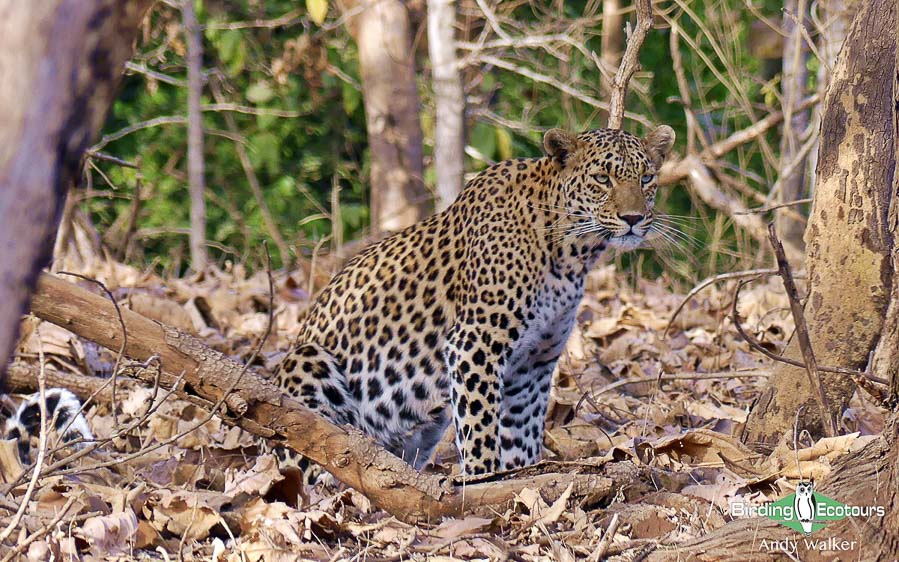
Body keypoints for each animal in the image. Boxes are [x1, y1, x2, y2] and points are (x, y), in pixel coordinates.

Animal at [272, 124, 676, 474]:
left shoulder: (533, 364)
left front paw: (519, 476)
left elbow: (521, 434)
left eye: (646, 178)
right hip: (308, 361)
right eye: (602, 179)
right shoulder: (475, 343)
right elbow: (479, 426)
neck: (570, 253)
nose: (633, 218)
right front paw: (483, 478)